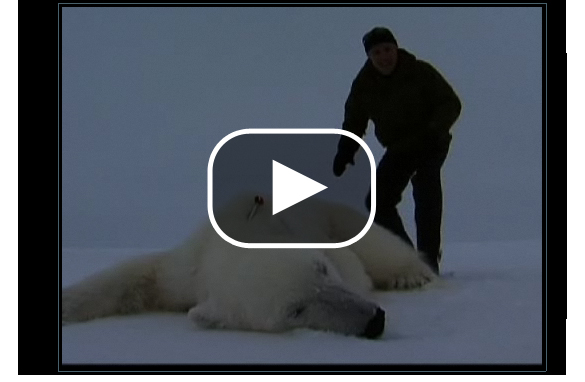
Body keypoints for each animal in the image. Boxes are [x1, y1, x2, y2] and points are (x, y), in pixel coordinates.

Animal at [62, 192, 438, 338]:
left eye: (322, 268)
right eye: (296, 310)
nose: (374, 321)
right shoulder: (185, 270)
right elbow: (137, 276)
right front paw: (66, 304)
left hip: (330, 212)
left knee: (375, 241)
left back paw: (410, 275)